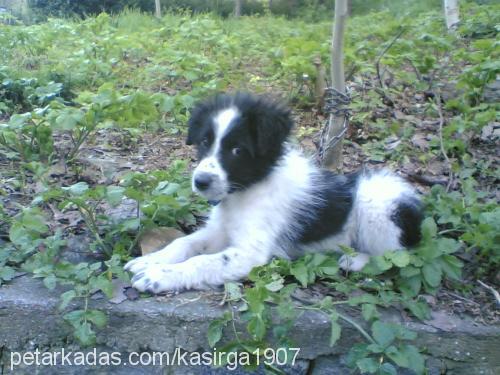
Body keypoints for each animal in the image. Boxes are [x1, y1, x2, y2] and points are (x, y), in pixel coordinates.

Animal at [125, 92, 422, 292]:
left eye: (237, 150)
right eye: (205, 142)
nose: (201, 182)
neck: (248, 189)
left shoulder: (250, 253)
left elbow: (203, 262)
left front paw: (159, 276)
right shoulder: (220, 230)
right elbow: (184, 243)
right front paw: (150, 260)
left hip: (380, 202)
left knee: (398, 256)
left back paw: (355, 260)